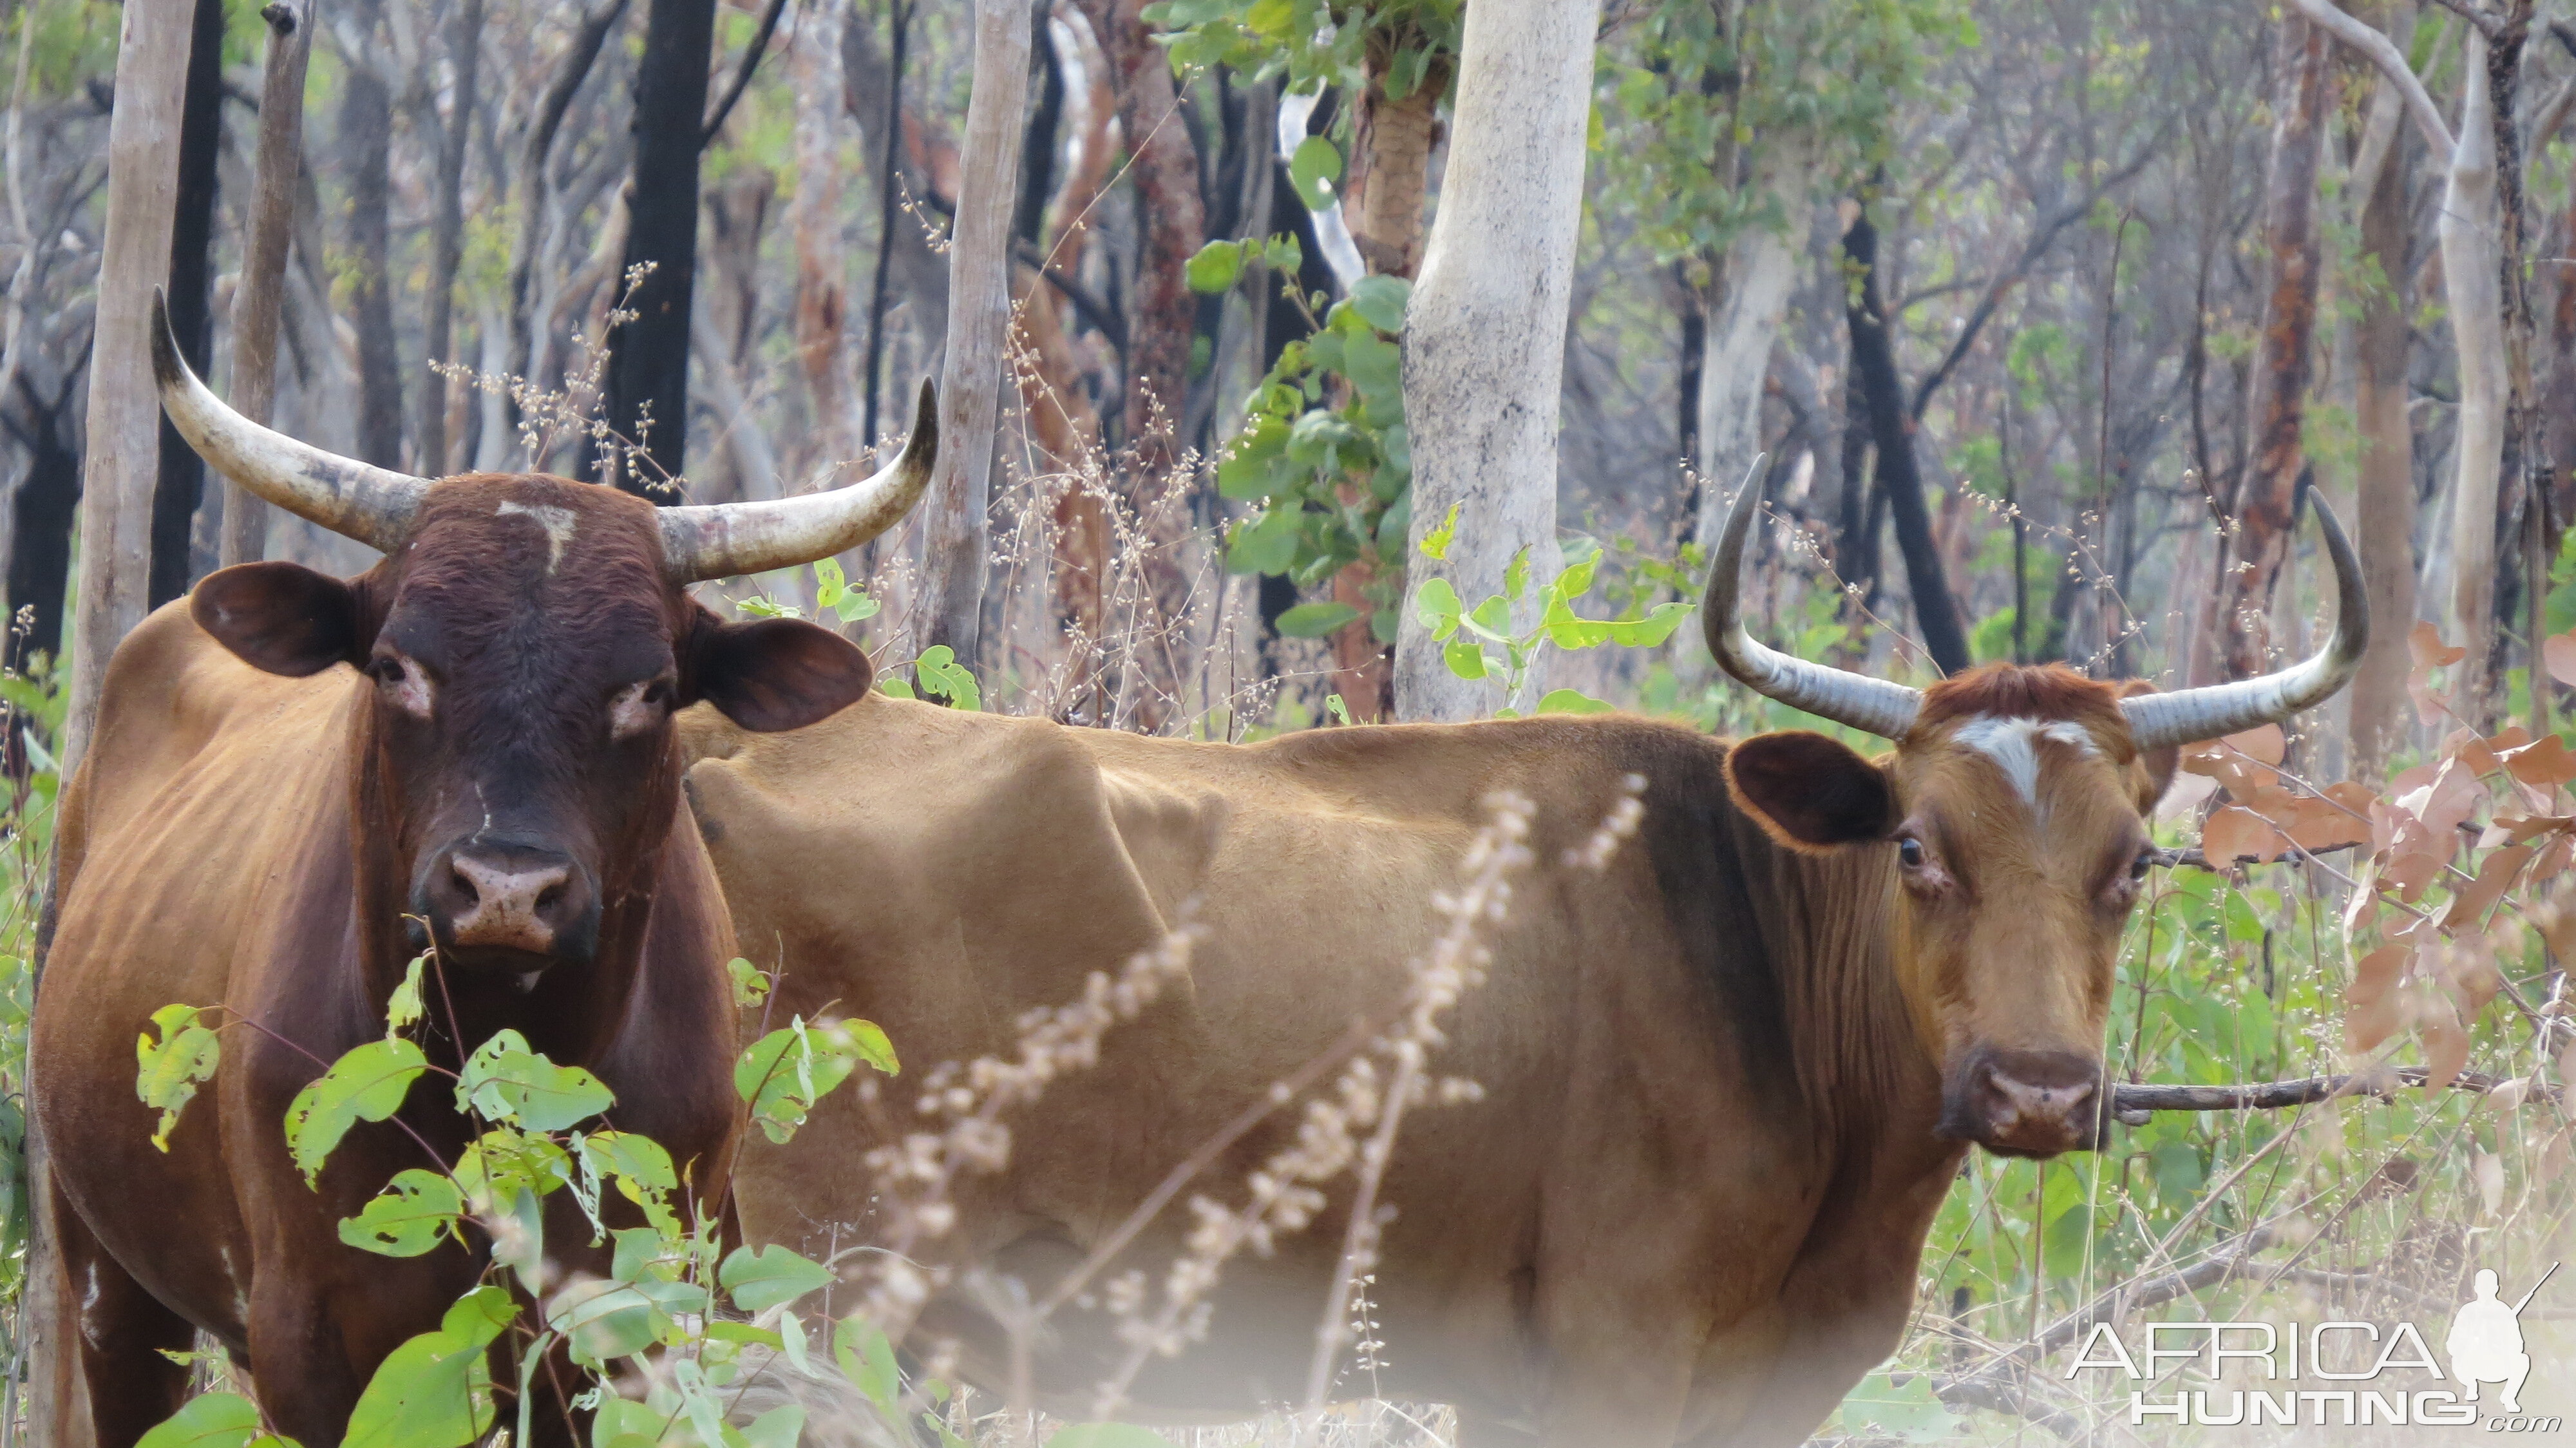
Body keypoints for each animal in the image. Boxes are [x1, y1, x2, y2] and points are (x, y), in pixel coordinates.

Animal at [30, 287, 938, 1433]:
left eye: (651, 688)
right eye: (395, 665)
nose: (505, 891)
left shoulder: (617, 1327)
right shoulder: (310, 1345)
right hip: (105, 1277)